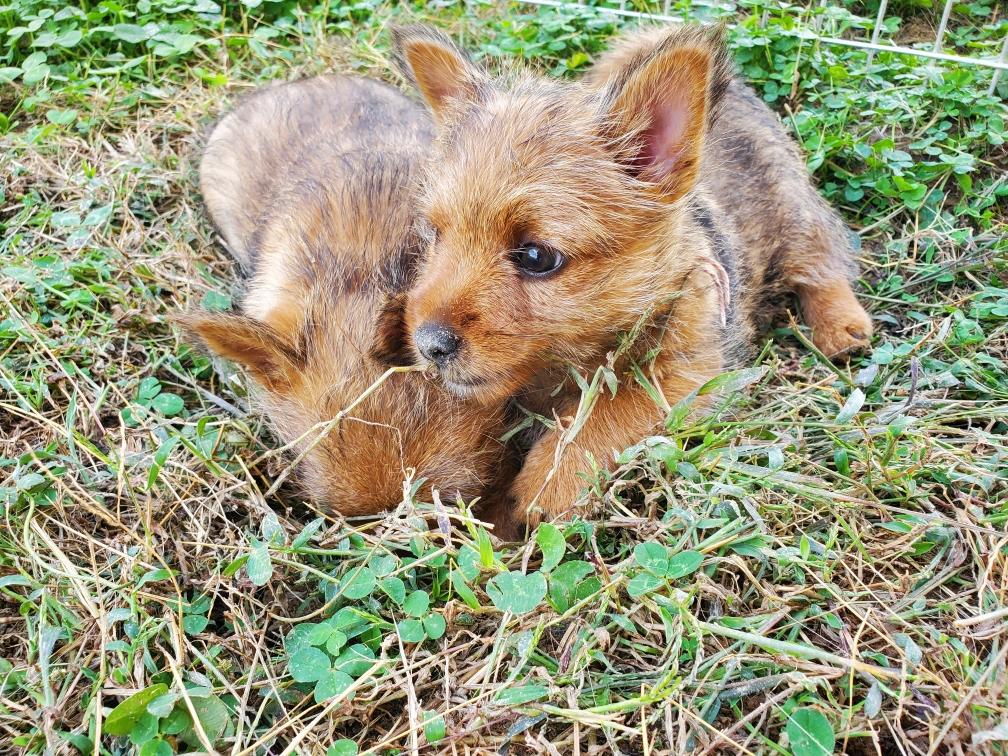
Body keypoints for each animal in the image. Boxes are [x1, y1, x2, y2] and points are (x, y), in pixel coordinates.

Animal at [389, 23, 872, 532]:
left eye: (537, 257)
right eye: (434, 234)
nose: (429, 344)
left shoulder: (687, 371)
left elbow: (610, 413)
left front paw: (547, 483)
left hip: (793, 210)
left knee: (822, 262)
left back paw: (841, 327)